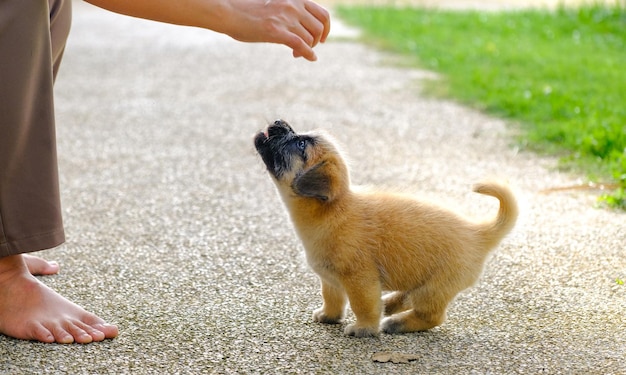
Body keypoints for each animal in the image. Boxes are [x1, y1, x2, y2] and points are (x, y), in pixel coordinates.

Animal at [254, 120, 516, 338]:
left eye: (300, 143)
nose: (278, 122)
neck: (332, 211)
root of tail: (478, 232)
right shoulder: (330, 278)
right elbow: (332, 298)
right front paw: (328, 316)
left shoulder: (361, 280)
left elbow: (363, 306)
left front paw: (364, 329)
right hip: (424, 283)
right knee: (409, 297)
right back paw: (390, 305)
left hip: (434, 289)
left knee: (432, 316)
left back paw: (397, 323)